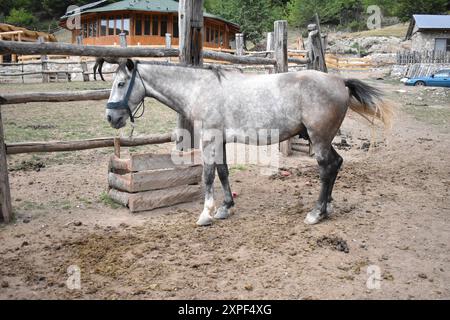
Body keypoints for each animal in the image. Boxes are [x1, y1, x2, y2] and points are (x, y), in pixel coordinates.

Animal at [103, 59, 392, 225]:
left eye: (121, 83)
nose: (110, 117)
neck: (200, 88)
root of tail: (339, 81)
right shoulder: (219, 140)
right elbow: (222, 172)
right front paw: (225, 208)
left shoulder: (209, 139)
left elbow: (208, 175)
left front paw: (206, 214)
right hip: (323, 138)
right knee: (337, 164)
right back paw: (328, 207)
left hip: (319, 139)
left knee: (327, 168)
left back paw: (316, 213)